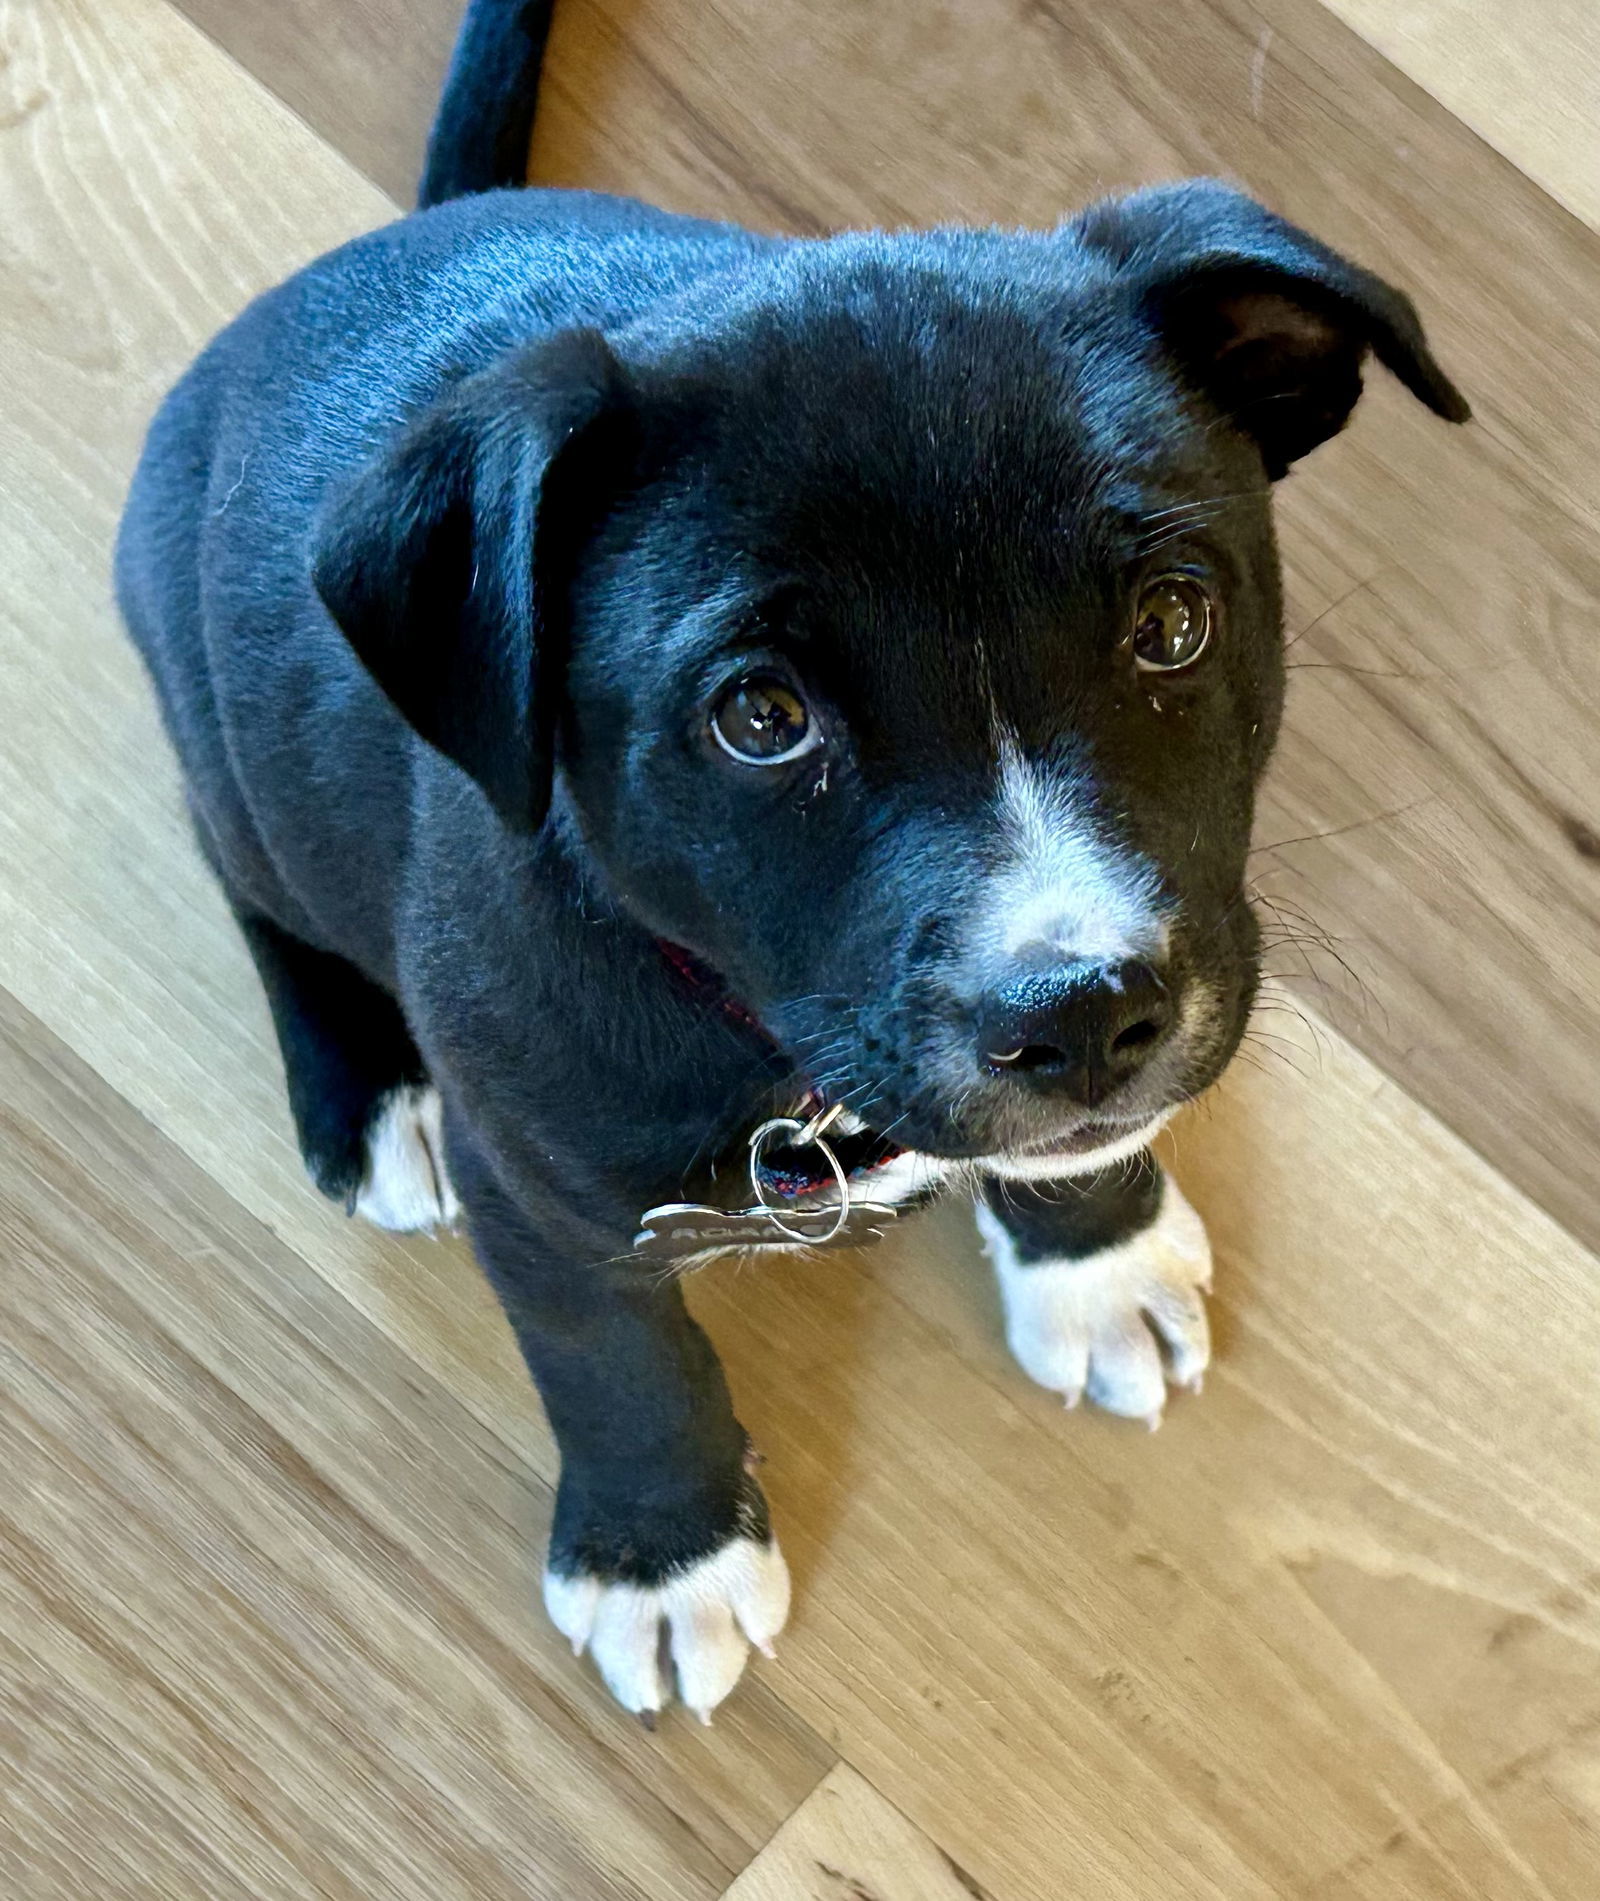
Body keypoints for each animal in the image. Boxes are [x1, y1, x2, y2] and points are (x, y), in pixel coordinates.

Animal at [109, 0, 1459, 1726]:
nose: (1085, 1015)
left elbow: (1070, 1150)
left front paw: (1093, 1254)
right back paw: (364, 1087)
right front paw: (662, 1557)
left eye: (1172, 621)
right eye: (760, 718)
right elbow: (620, 1363)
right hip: (228, 754)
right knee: (252, 884)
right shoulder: (537, 1192)